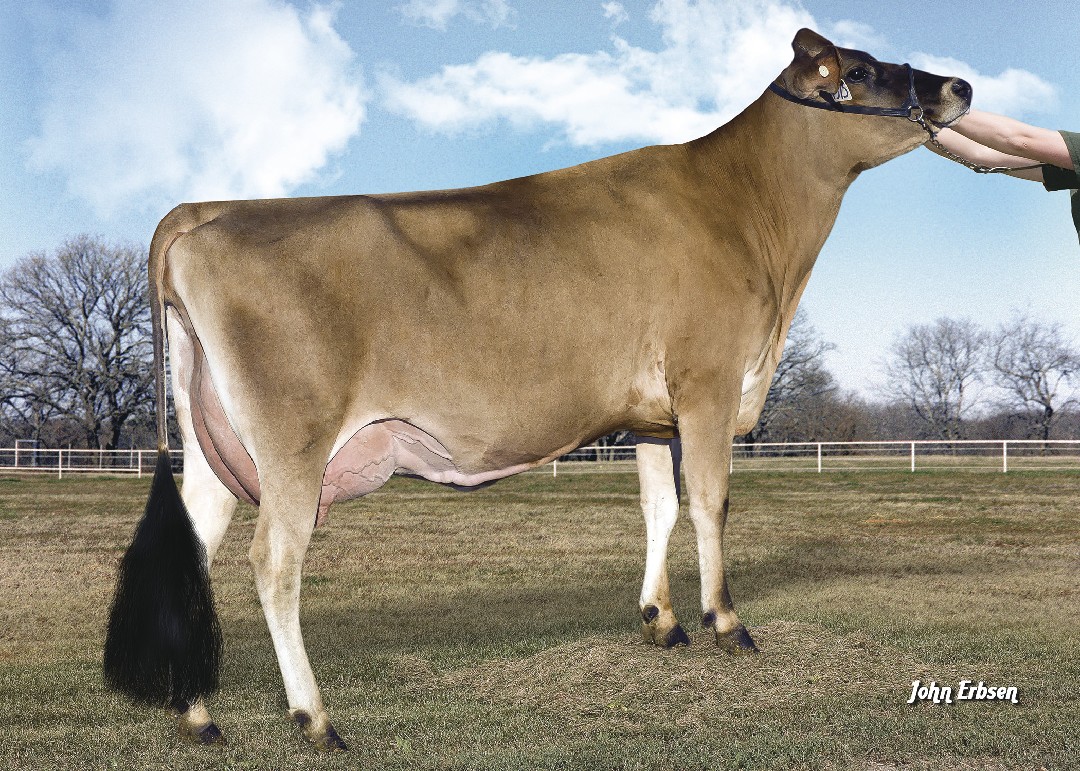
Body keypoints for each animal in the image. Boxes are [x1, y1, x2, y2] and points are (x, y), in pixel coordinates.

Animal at [104, 29, 972, 750]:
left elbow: (659, 506)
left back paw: (198, 714)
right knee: (273, 564)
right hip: (292, 444)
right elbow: (710, 502)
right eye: (860, 72)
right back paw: (316, 719)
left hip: (214, 443)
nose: (959, 85)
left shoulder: (650, 413)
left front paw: (661, 622)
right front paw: (726, 623)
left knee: (194, 549)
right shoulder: (710, 383)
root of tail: (204, 213)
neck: (749, 217)